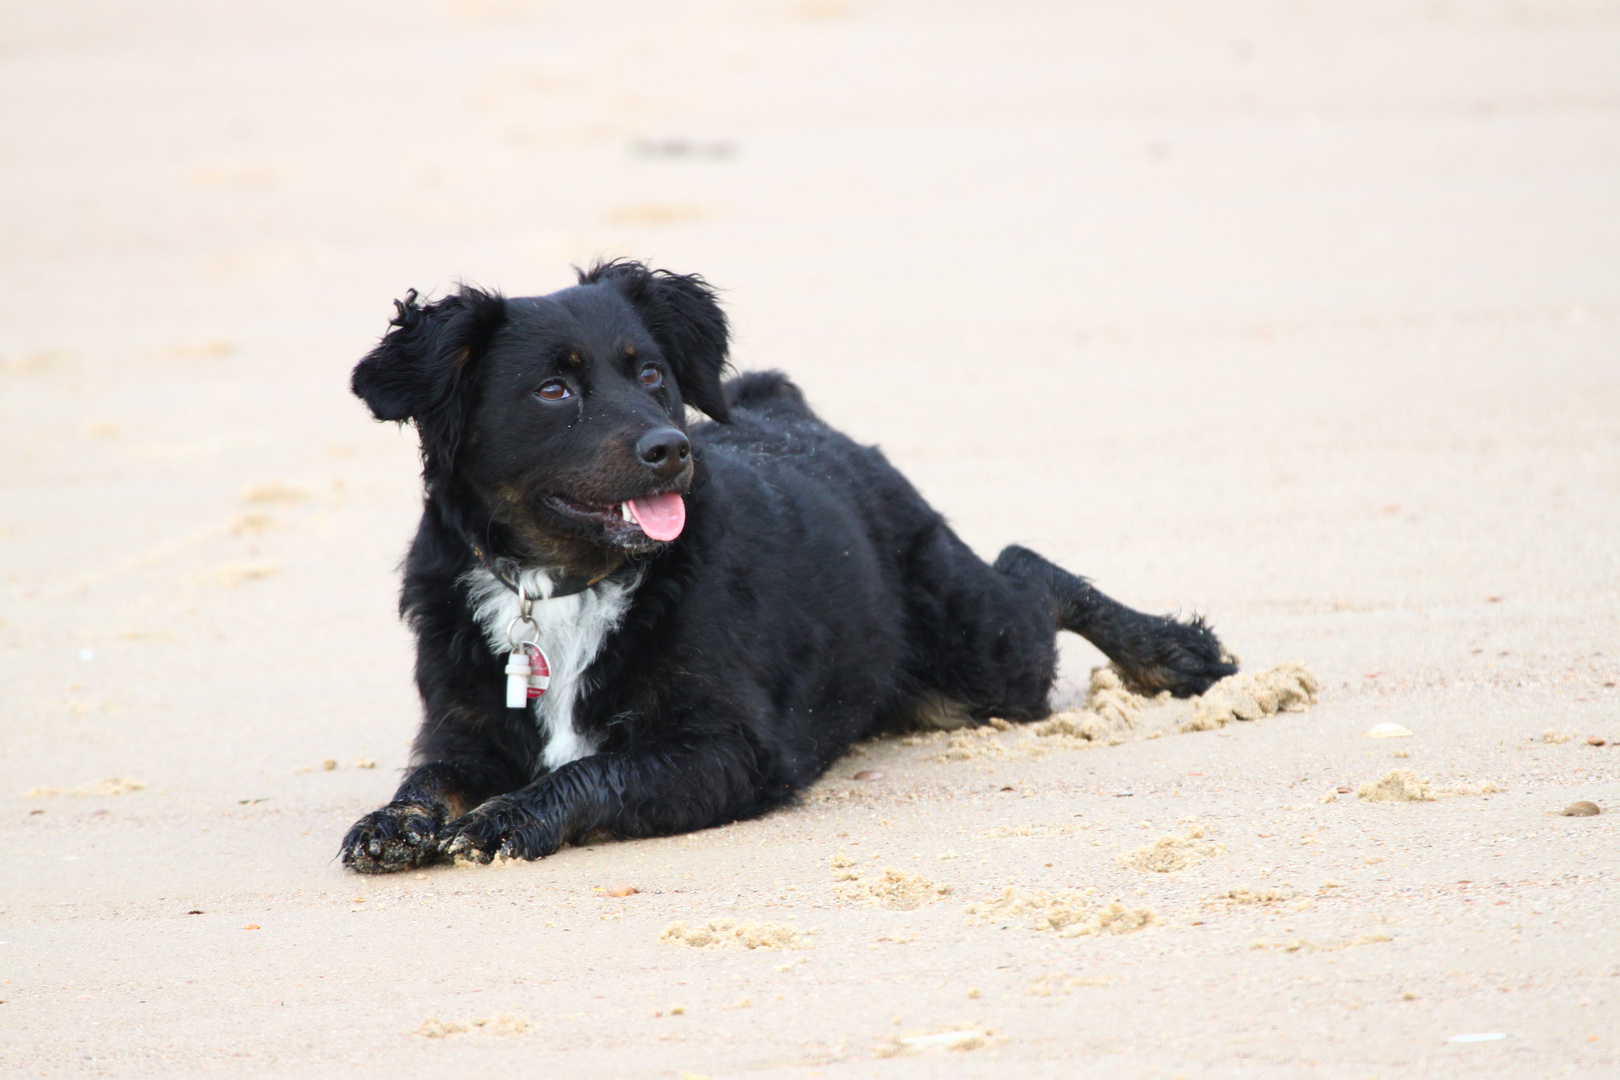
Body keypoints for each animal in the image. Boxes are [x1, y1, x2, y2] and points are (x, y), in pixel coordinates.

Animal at [335, 263, 1231, 880]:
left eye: (651, 372)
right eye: (553, 390)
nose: (672, 450)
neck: (565, 586)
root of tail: (792, 411)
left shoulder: (730, 750)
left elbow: (594, 769)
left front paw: (507, 818)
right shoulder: (464, 730)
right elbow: (432, 778)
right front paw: (396, 820)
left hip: (984, 660)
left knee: (1026, 570)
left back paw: (1171, 652)